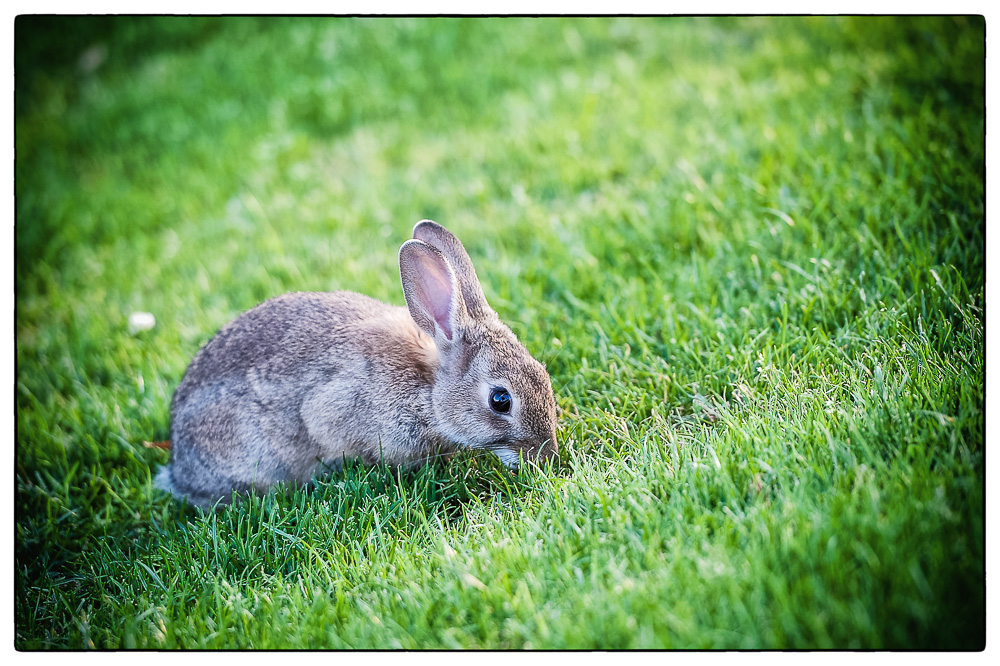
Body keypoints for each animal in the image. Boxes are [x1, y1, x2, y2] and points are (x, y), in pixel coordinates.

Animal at [157, 218, 564, 504]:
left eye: (542, 374)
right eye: (500, 400)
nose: (546, 457)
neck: (429, 389)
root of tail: (179, 466)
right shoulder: (332, 408)